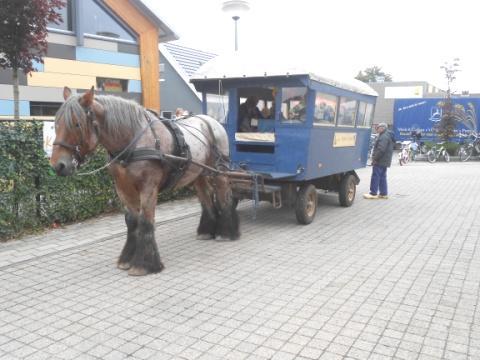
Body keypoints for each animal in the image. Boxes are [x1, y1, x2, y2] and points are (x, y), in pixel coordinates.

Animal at [51, 87, 240, 276]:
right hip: (197, 174)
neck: (133, 142)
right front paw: (127, 258)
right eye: (56, 123)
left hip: (219, 171)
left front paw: (144, 264)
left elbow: (145, 221)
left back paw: (226, 232)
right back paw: (206, 231)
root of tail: (210, 121)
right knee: (206, 198)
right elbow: (132, 221)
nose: (58, 165)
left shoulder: (148, 187)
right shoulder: (123, 188)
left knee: (224, 196)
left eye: (76, 124)